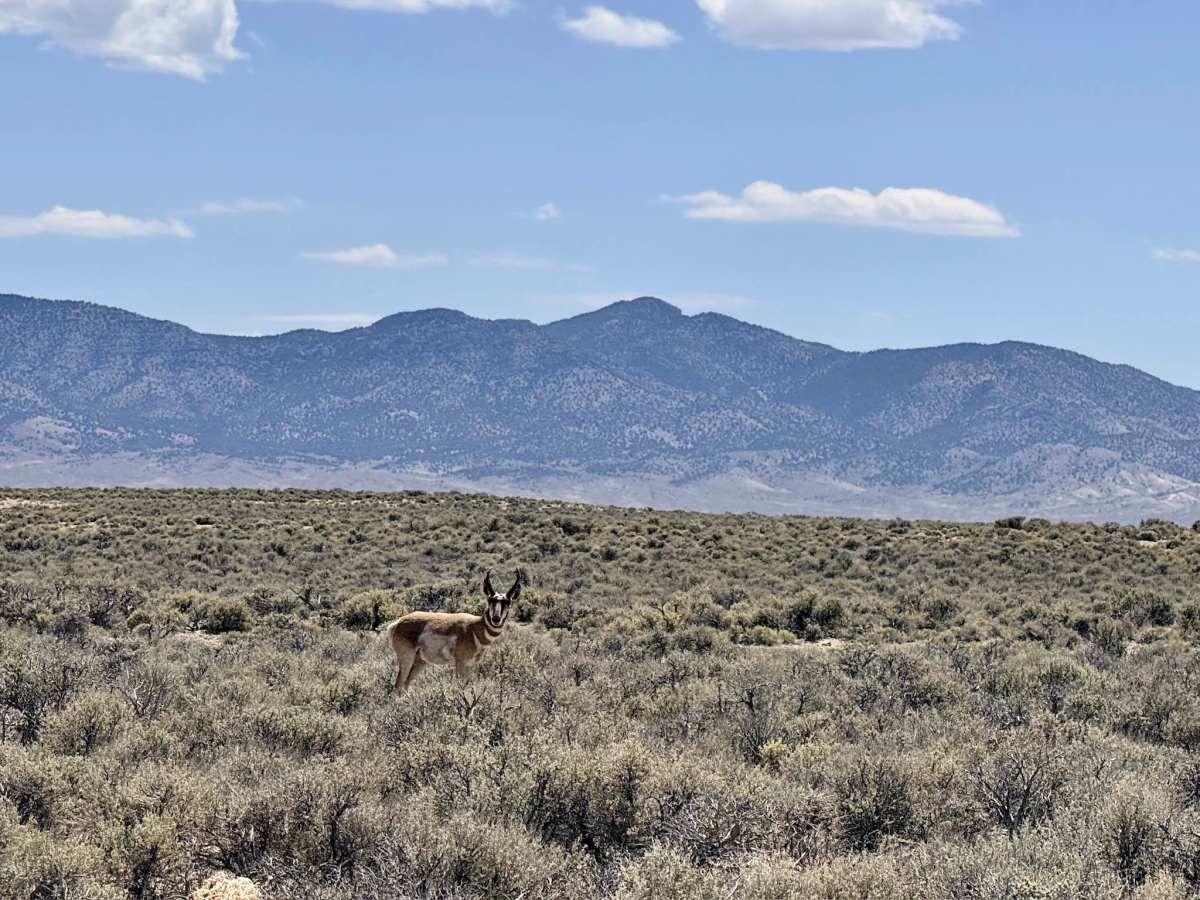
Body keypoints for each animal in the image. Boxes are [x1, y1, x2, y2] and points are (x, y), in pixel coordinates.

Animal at [386, 570, 521, 693]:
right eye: (490, 600)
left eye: (507, 602)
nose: (496, 619)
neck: (474, 628)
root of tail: (398, 622)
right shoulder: (461, 664)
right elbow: (461, 688)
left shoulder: (470, 665)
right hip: (407, 659)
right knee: (398, 685)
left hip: (420, 662)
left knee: (405, 685)